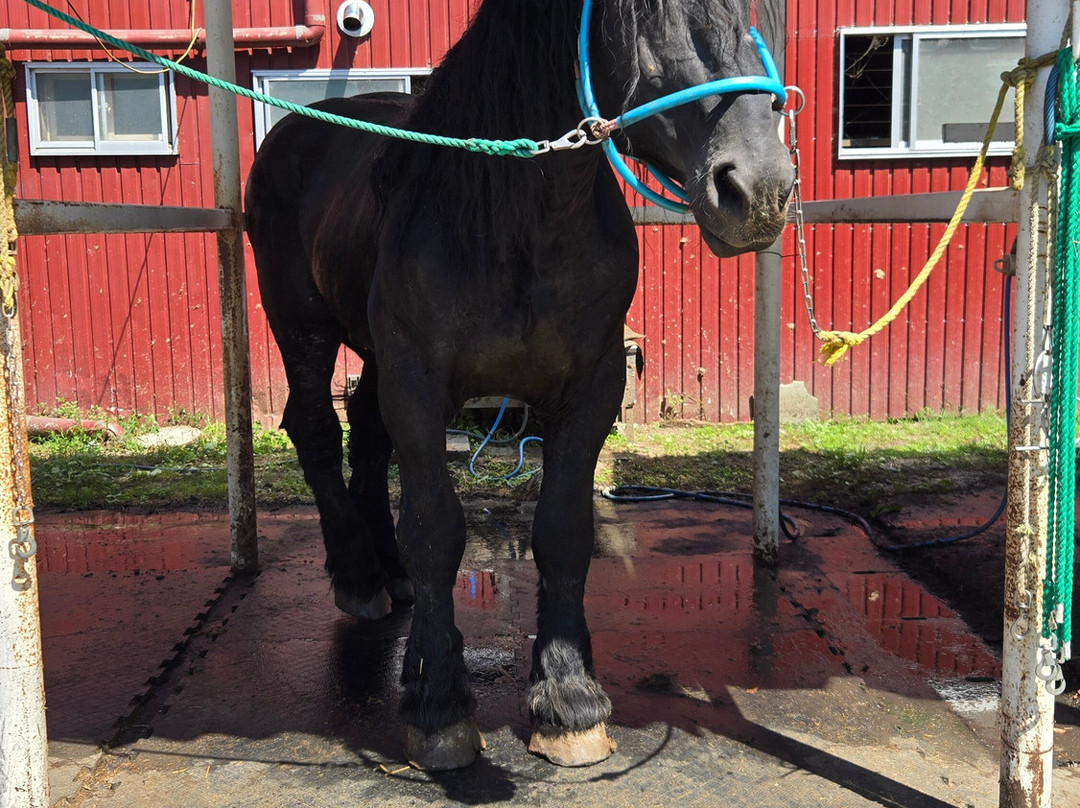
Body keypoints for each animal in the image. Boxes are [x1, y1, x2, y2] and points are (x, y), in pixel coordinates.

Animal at [244, 0, 793, 771]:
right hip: (302, 326)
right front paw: (438, 705)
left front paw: (567, 699)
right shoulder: (418, 383)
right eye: (648, 17)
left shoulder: (589, 389)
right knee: (318, 429)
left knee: (367, 433)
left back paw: (390, 574)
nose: (759, 190)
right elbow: (437, 529)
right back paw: (357, 576)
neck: (517, 224)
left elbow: (562, 530)